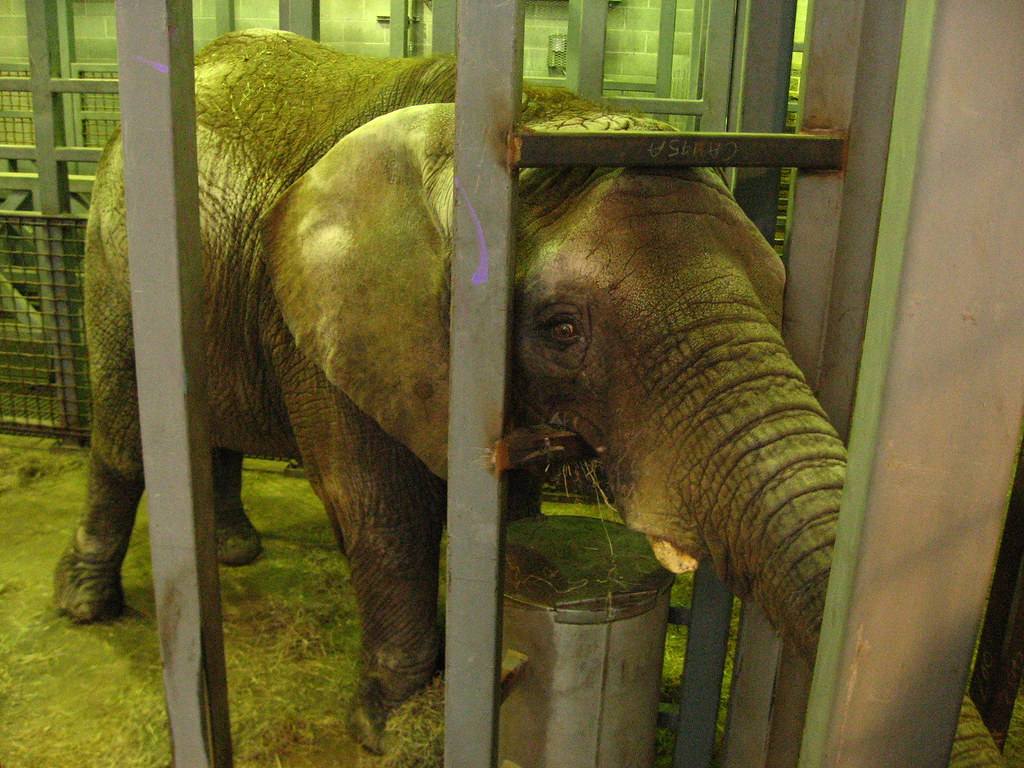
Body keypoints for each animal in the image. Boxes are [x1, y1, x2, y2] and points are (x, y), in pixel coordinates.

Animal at [52, 29, 1000, 764]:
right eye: (562, 327)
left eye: (778, 292)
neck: (536, 115)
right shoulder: (325, 321)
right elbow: (380, 507)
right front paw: (400, 731)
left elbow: (507, 506)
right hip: (114, 248)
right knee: (125, 429)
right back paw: (85, 605)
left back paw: (236, 551)